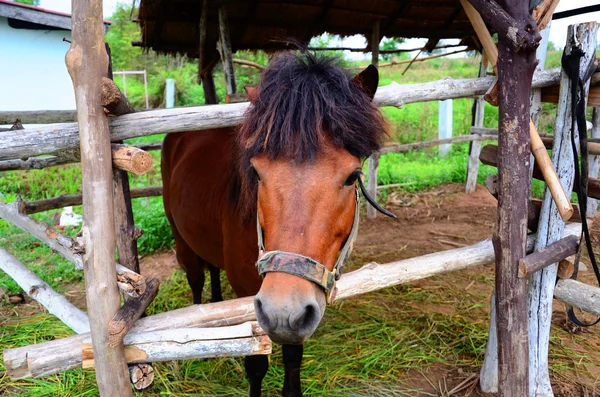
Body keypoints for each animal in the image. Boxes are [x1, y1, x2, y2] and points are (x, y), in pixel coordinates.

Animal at [162, 52, 390, 396]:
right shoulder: (249, 297)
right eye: (257, 172)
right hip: (180, 237)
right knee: (196, 281)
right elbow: (256, 365)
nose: (284, 310)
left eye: (353, 176)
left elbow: (293, 355)